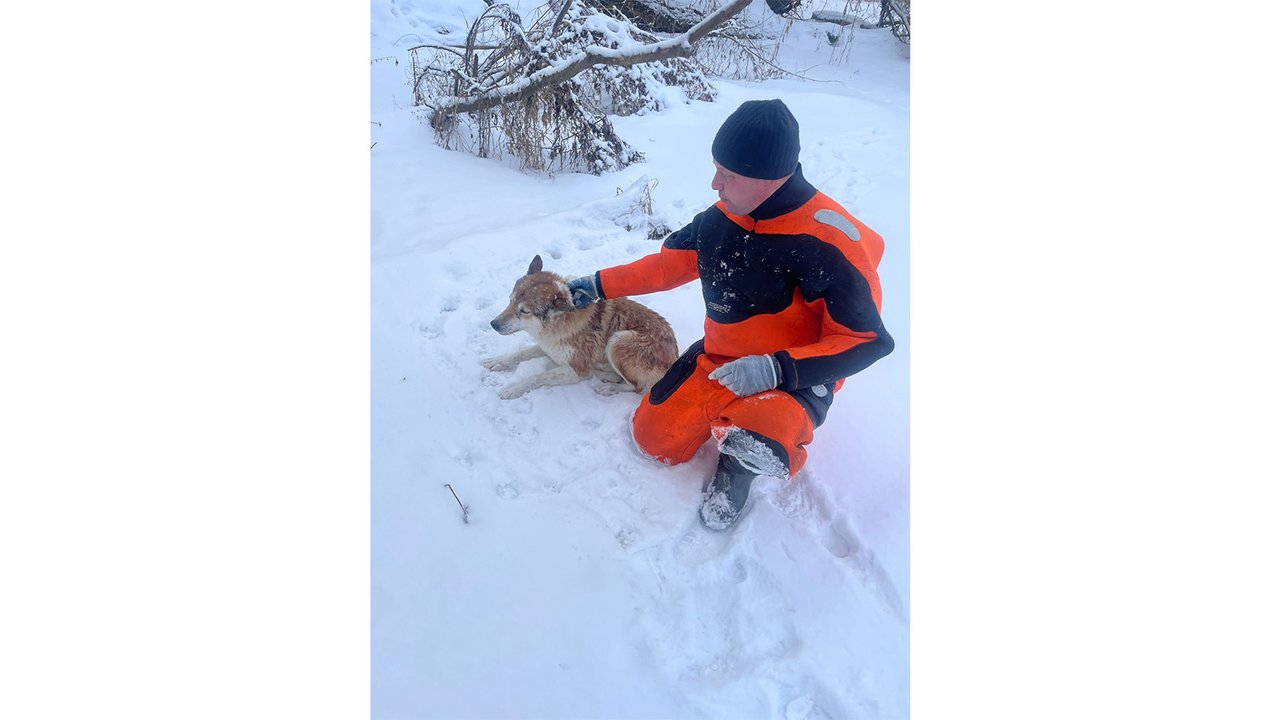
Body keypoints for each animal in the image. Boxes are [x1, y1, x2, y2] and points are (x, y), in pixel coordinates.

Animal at [481, 253, 680, 399]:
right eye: (510, 300)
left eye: (524, 311)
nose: (493, 324)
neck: (557, 324)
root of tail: (674, 359)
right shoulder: (548, 348)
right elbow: (521, 353)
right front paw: (499, 362)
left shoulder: (578, 370)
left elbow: (539, 376)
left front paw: (515, 388)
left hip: (618, 340)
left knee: (638, 387)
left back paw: (608, 387)